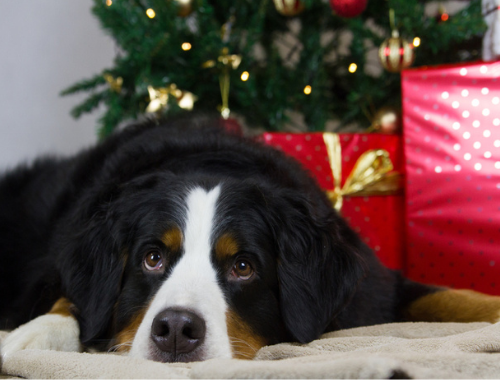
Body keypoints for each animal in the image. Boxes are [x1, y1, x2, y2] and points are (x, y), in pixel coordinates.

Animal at [0, 115, 500, 362]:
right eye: (151, 258)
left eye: (243, 266)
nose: (176, 330)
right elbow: (67, 302)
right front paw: (29, 335)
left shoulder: (376, 291)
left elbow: (452, 295)